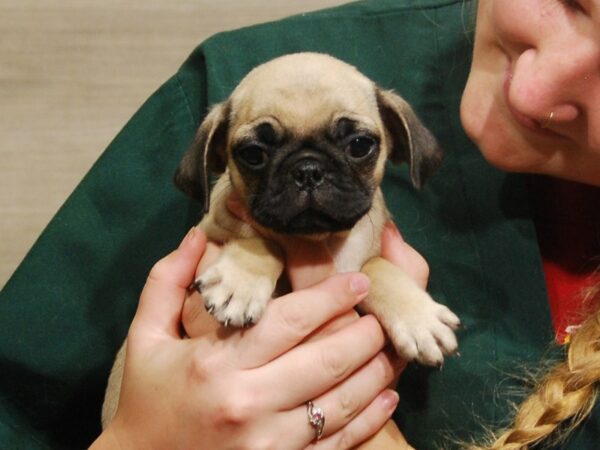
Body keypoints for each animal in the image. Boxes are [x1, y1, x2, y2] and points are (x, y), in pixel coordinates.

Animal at [102, 52, 460, 428]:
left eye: (360, 145)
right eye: (253, 154)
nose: (308, 170)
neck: (319, 241)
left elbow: (376, 268)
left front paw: (418, 317)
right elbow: (264, 242)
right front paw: (239, 284)